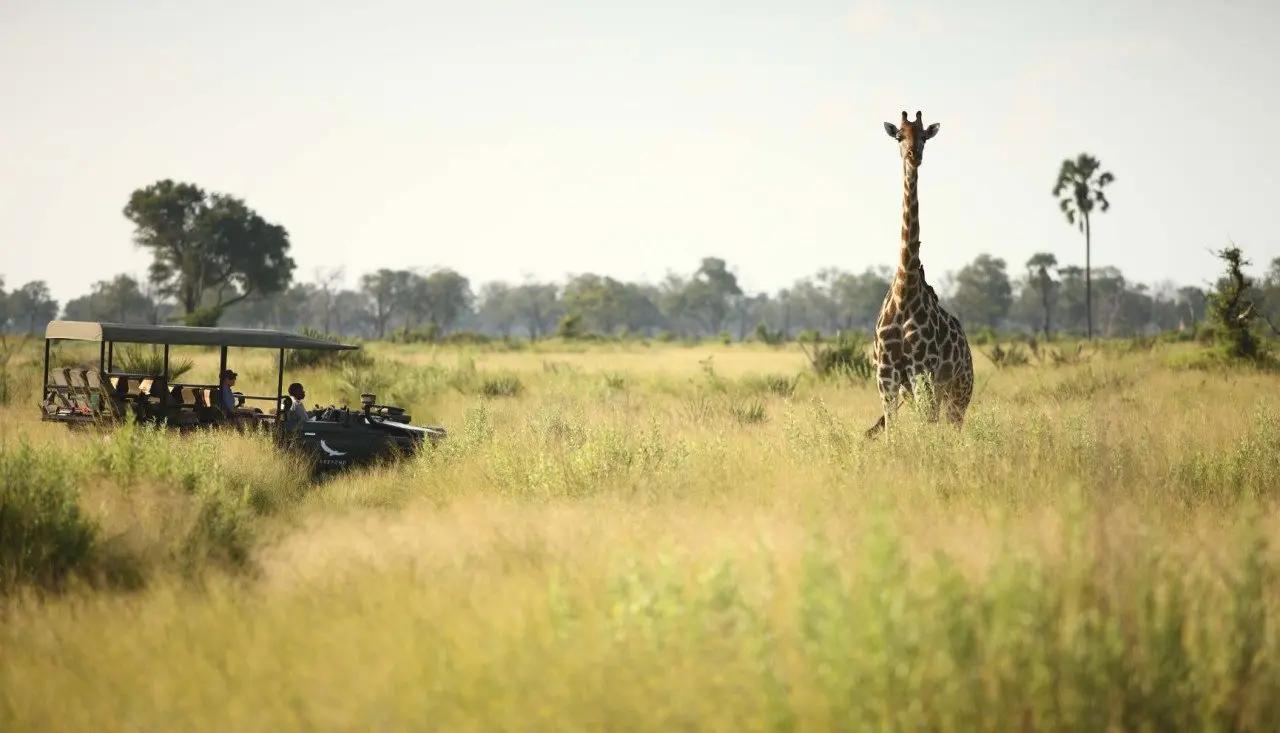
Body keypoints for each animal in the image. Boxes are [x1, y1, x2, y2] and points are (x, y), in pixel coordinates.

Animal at [865, 109, 972, 437]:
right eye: (899, 136)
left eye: (924, 136)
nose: (914, 155)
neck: (905, 290)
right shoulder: (886, 374)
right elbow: (891, 429)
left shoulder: (920, 370)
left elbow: (925, 426)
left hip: (959, 391)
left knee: (951, 425)